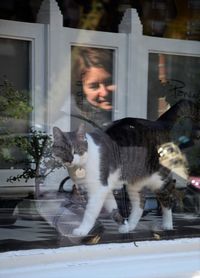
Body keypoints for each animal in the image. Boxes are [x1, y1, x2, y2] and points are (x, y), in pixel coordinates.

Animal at [52, 99, 199, 236]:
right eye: (63, 151)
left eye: (76, 150)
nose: (70, 159)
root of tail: (158, 123)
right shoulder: (105, 189)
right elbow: (113, 209)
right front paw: (124, 225)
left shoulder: (98, 189)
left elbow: (90, 212)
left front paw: (82, 230)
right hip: (134, 183)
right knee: (141, 202)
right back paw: (132, 225)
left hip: (159, 180)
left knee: (168, 198)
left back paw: (168, 225)